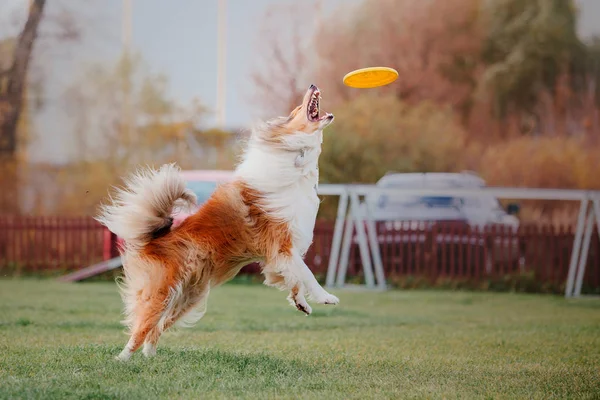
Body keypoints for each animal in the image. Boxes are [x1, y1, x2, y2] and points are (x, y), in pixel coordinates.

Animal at [94, 83, 338, 360]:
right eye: (297, 109)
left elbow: (295, 277)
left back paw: (150, 357)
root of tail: (153, 240)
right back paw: (123, 359)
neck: (294, 158)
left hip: (188, 298)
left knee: (155, 329)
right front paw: (325, 297)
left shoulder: (282, 252)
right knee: (141, 327)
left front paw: (301, 303)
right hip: (162, 292)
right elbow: (306, 274)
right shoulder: (282, 244)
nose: (312, 85)